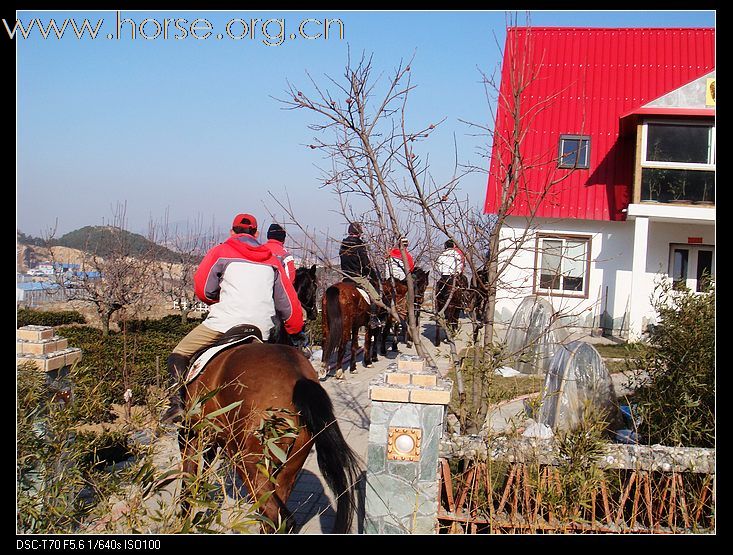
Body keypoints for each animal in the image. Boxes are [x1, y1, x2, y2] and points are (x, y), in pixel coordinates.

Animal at [178, 344, 360, 536]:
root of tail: (299, 377)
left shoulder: (191, 435)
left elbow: (186, 484)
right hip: (288, 467)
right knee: (273, 519)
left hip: (248, 462)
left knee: (279, 517)